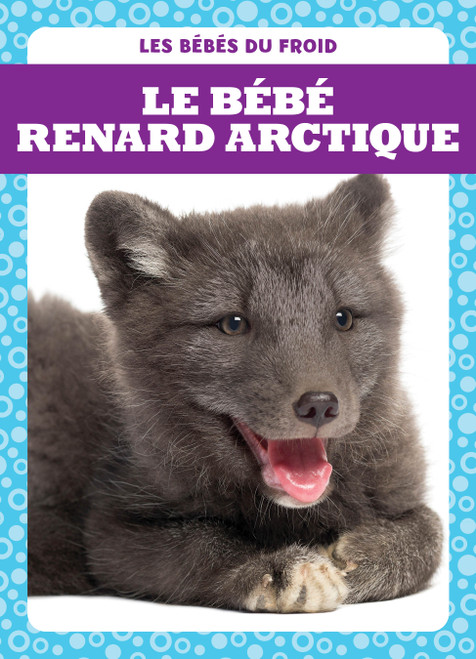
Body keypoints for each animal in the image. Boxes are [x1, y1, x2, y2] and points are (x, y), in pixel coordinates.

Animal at [28, 174, 442, 612]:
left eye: (343, 318)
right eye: (233, 324)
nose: (320, 405)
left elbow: (433, 529)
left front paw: (362, 554)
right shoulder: (109, 531)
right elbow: (198, 541)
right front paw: (276, 568)